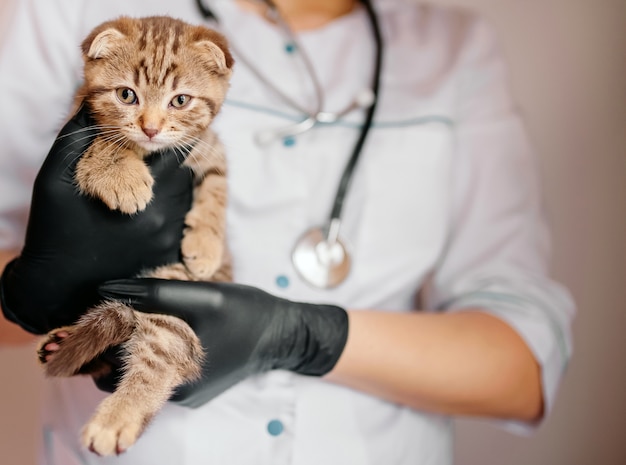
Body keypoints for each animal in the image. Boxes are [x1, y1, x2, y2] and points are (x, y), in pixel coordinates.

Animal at [34, 16, 234, 454]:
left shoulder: (207, 147)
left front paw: (207, 244)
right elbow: (104, 140)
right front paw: (121, 173)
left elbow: (216, 184)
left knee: (159, 360)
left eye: (180, 100)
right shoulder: (75, 123)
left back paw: (114, 417)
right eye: (127, 95)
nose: (151, 128)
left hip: (169, 301)